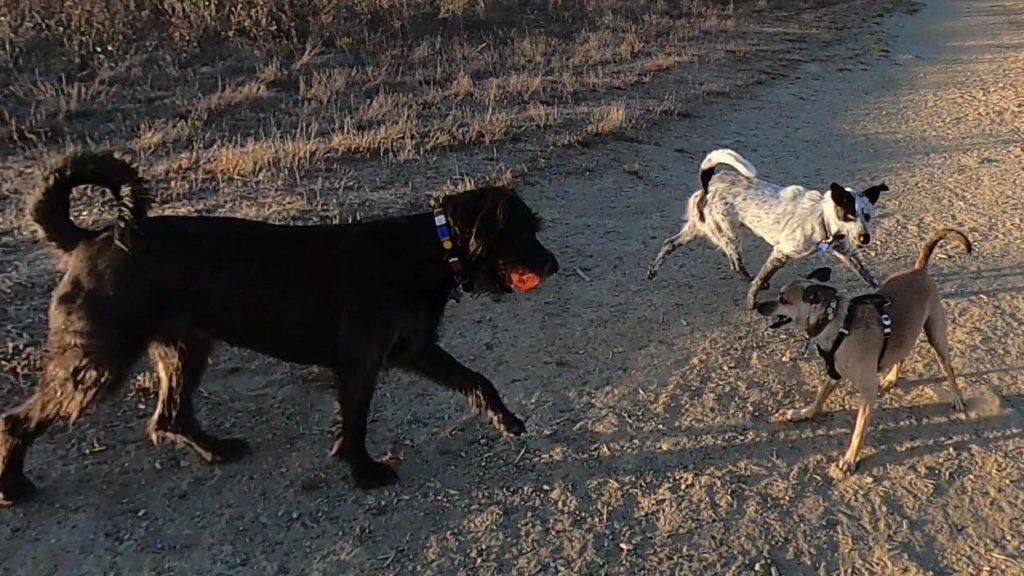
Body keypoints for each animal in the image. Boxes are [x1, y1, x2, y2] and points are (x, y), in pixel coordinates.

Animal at [0, 148, 557, 502]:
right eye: (522, 231)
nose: (553, 265)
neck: (423, 251)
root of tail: (89, 240)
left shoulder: (414, 350)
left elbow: (478, 381)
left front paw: (507, 420)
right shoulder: (361, 364)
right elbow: (356, 421)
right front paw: (363, 471)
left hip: (184, 348)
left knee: (170, 417)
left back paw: (218, 450)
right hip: (98, 363)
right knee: (18, 419)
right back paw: (14, 487)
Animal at [647, 147, 888, 309]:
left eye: (867, 215)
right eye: (849, 216)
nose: (865, 238)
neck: (822, 216)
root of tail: (709, 183)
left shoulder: (846, 251)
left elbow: (867, 274)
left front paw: (881, 289)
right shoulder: (781, 253)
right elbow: (761, 279)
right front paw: (752, 300)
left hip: (698, 229)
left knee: (669, 244)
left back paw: (652, 271)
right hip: (729, 235)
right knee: (737, 265)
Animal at [757, 225, 970, 471]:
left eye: (783, 299)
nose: (758, 305)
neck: (836, 323)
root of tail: (919, 270)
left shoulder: (867, 392)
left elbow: (858, 431)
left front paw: (850, 459)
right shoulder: (833, 373)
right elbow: (819, 397)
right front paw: (805, 413)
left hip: (936, 336)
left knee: (948, 368)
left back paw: (957, 397)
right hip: (907, 332)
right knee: (902, 354)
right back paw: (892, 378)